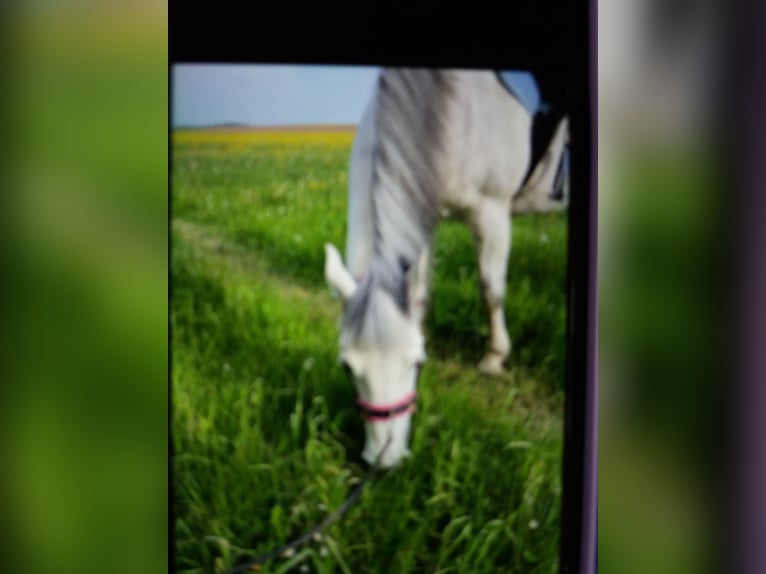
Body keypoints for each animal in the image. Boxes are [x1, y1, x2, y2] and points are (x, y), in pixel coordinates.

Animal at [323, 68, 568, 468]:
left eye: (417, 363)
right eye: (346, 366)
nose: (383, 460)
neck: (451, 109)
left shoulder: (492, 212)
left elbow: (490, 289)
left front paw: (493, 358)